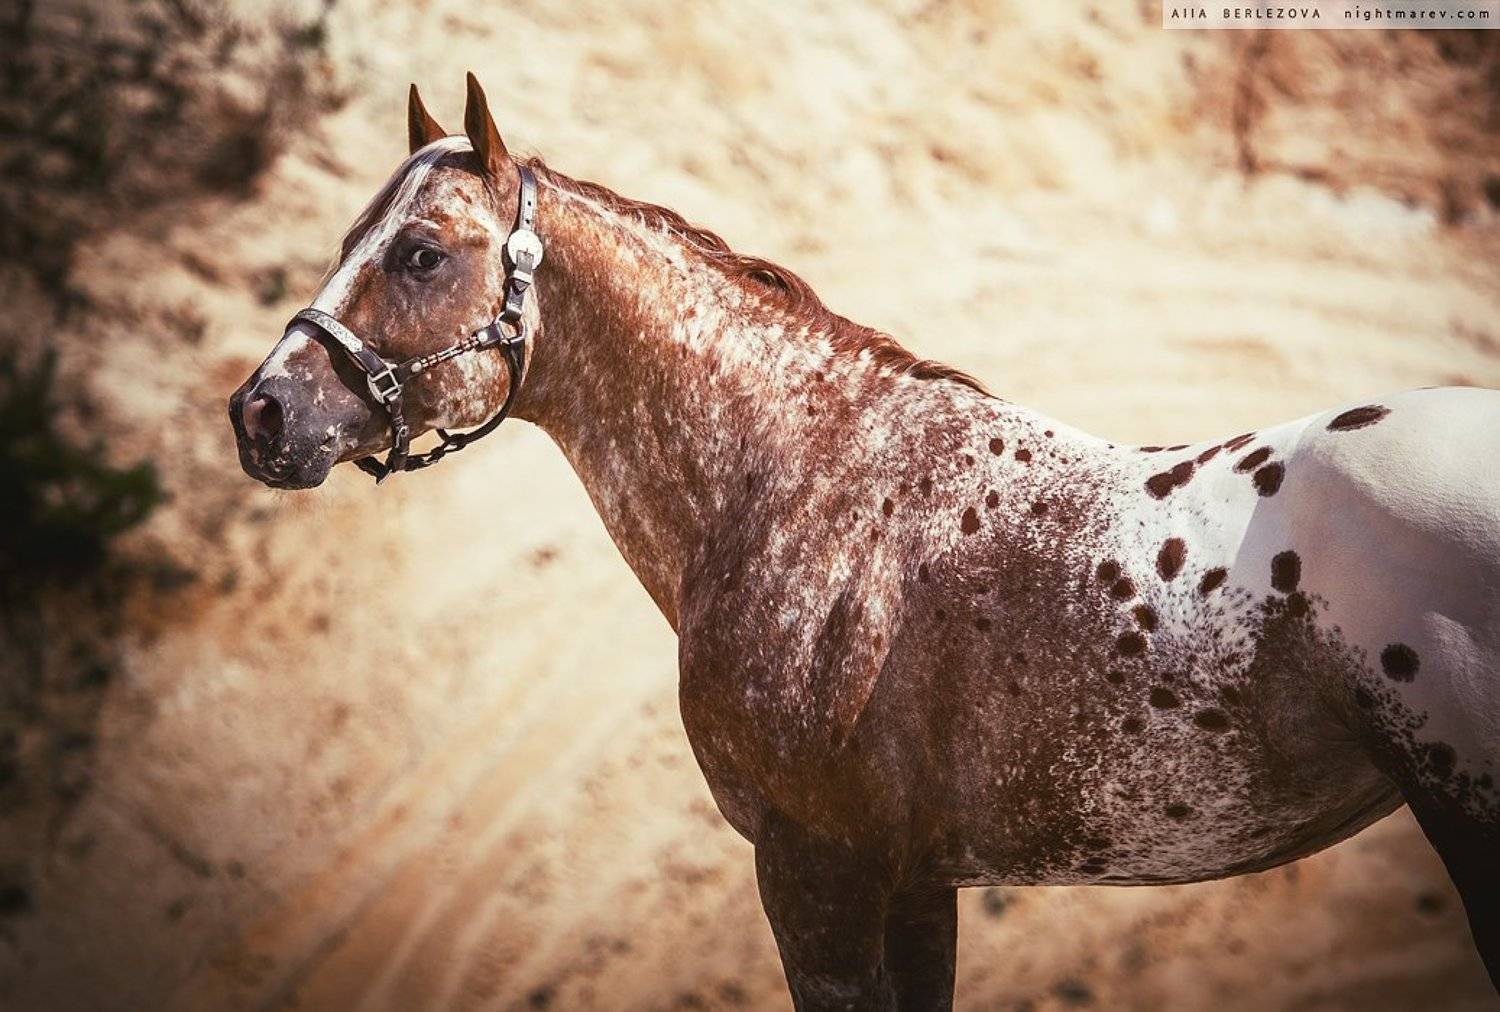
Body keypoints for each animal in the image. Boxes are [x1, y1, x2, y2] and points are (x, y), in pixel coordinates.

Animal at [228, 75, 1500, 1009]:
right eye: (349, 237)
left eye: (422, 253)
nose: (262, 413)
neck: (799, 482)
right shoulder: (913, 885)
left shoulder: (816, 871)